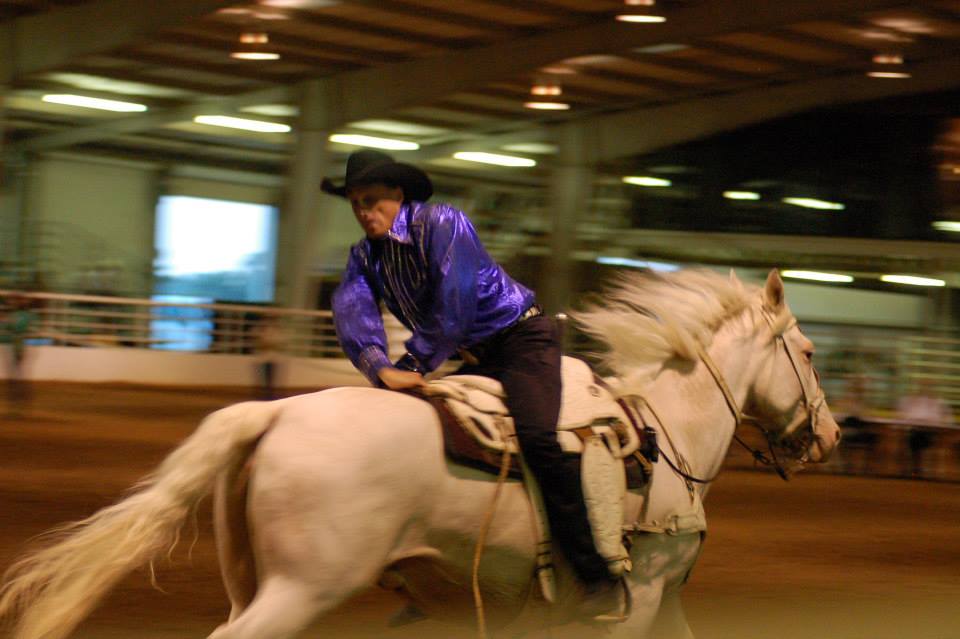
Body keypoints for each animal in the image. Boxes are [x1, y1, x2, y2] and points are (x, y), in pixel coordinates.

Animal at [0, 270, 840, 639]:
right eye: (806, 350)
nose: (830, 435)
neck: (666, 440)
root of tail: (273, 412)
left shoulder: (657, 602)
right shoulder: (640, 600)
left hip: (252, 582)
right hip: (300, 587)